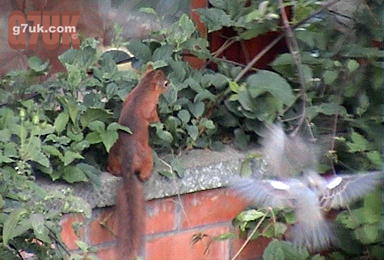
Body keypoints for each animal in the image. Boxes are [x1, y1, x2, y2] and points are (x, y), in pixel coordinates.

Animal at [108, 66, 168, 258]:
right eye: (165, 83)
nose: (169, 85)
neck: (143, 88)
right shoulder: (150, 107)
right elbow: (152, 117)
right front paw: (160, 122)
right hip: (147, 155)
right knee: (144, 169)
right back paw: (145, 175)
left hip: (113, 156)